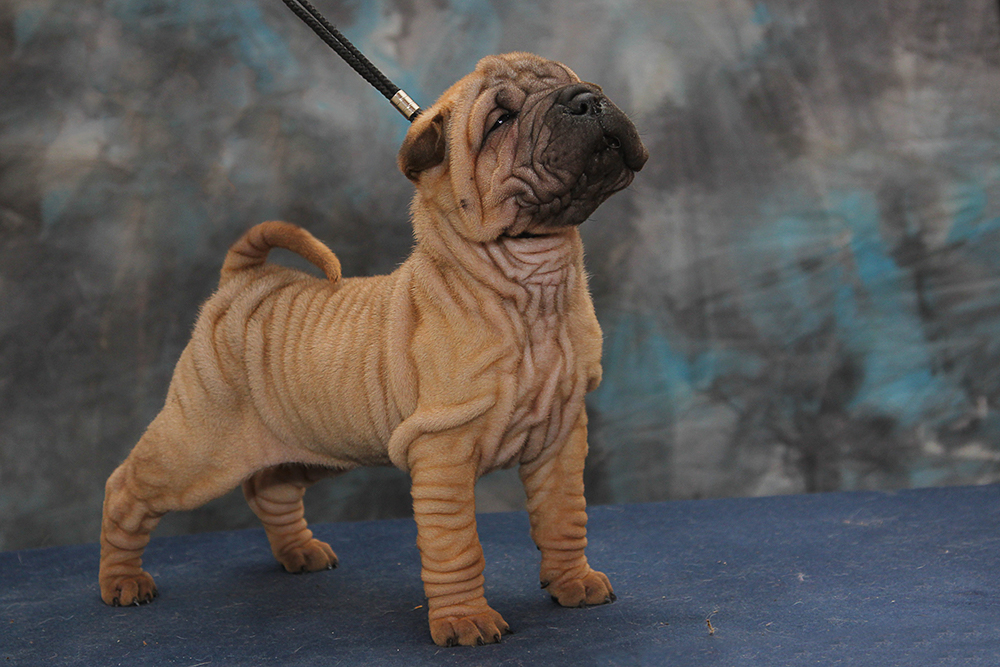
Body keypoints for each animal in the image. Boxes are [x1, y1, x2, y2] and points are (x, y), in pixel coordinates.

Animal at [99, 52, 647, 647]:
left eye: (582, 82)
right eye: (500, 121)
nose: (586, 100)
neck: (532, 278)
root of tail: (245, 281)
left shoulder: (560, 439)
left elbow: (564, 517)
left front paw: (573, 582)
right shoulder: (443, 454)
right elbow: (458, 546)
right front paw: (464, 619)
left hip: (313, 443)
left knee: (269, 488)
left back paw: (300, 552)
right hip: (197, 446)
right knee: (127, 489)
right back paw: (122, 580)